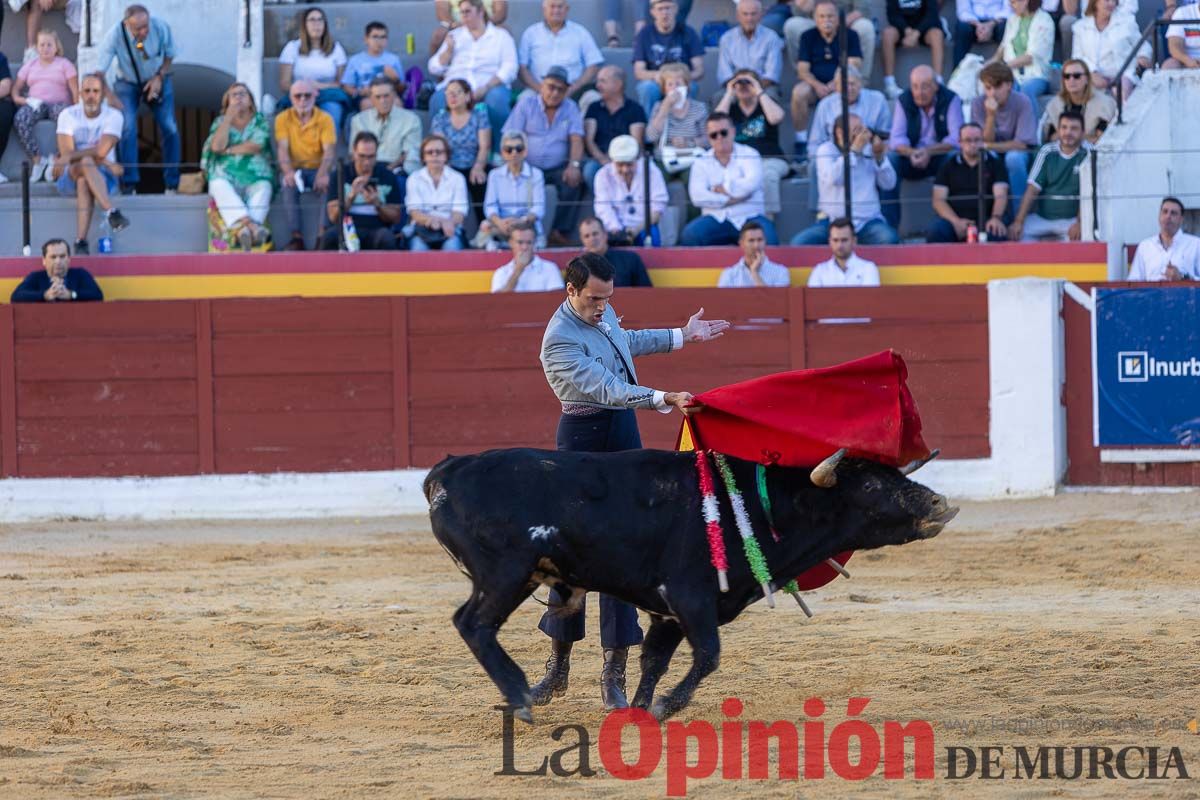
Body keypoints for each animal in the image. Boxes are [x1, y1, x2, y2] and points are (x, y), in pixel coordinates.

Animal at [427, 448, 960, 724]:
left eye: (894, 473)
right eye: (870, 486)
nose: (941, 504)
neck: (754, 506)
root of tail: (447, 469)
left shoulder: (667, 611)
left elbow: (654, 660)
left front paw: (640, 710)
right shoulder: (692, 599)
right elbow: (709, 655)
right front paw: (666, 706)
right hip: (504, 574)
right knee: (473, 624)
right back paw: (519, 697)